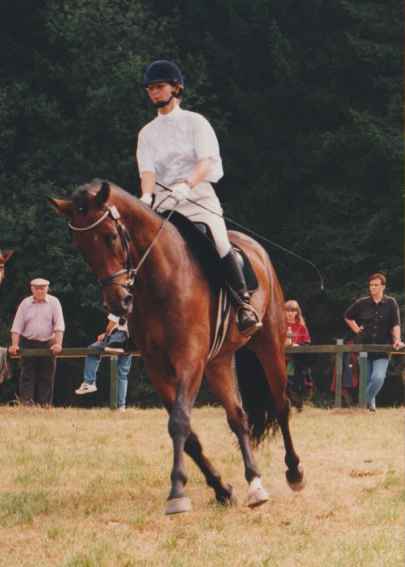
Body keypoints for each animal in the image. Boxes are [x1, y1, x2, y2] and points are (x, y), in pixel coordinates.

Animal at [46, 181, 304, 516]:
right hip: (218, 362)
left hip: (270, 344)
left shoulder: (189, 359)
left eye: (112, 236)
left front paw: (178, 491)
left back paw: (294, 471)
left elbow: (180, 421)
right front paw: (222, 489)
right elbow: (188, 433)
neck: (159, 277)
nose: (119, 303)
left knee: (282, 405)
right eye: (80, 246)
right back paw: (255, 483)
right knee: (238, 417)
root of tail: (256, 249)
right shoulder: (158, 366)